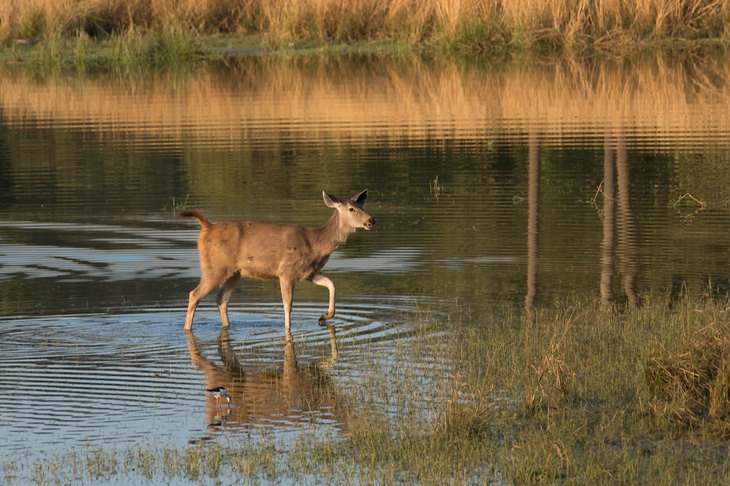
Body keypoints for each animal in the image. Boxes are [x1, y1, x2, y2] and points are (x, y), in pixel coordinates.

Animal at [179, 190, 372, 330]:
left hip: (234, 272)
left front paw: (325, 315)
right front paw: (288, 328)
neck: (316, 243)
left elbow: (332, 284)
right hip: (215, 267)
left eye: (362, 205)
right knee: (194, 294)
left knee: (222, 300)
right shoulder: (286, 271)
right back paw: (187, 329)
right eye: (351, 209)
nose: (371, 221)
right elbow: (288, 305)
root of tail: (207, 227)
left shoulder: (309, 272)